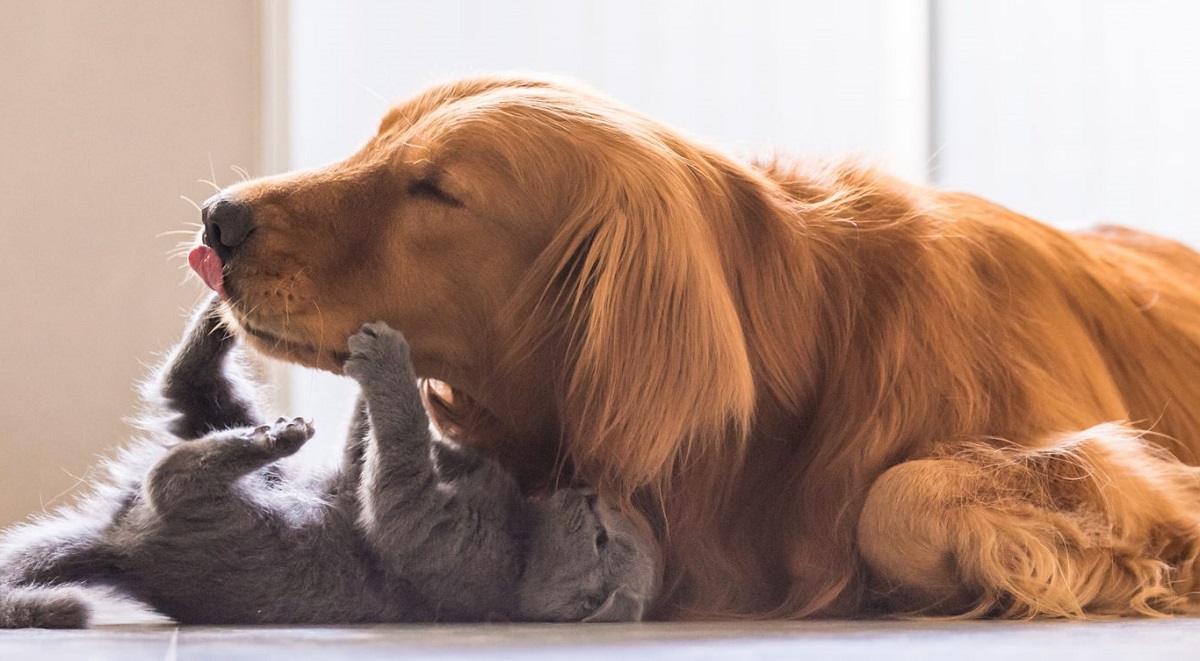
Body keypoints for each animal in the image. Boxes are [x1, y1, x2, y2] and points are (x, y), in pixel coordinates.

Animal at [0, 297, 657, 628]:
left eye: (602, 539)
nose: (591, 491)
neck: (521, 525)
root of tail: (118, 545)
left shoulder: (432, 536)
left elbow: (398, 467)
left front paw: (391, 365)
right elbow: (371, 450)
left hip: (234, 520)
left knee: (176, 477)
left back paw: (275, 437)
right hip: (216, 421)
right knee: (188, 386)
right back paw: (217, 317)